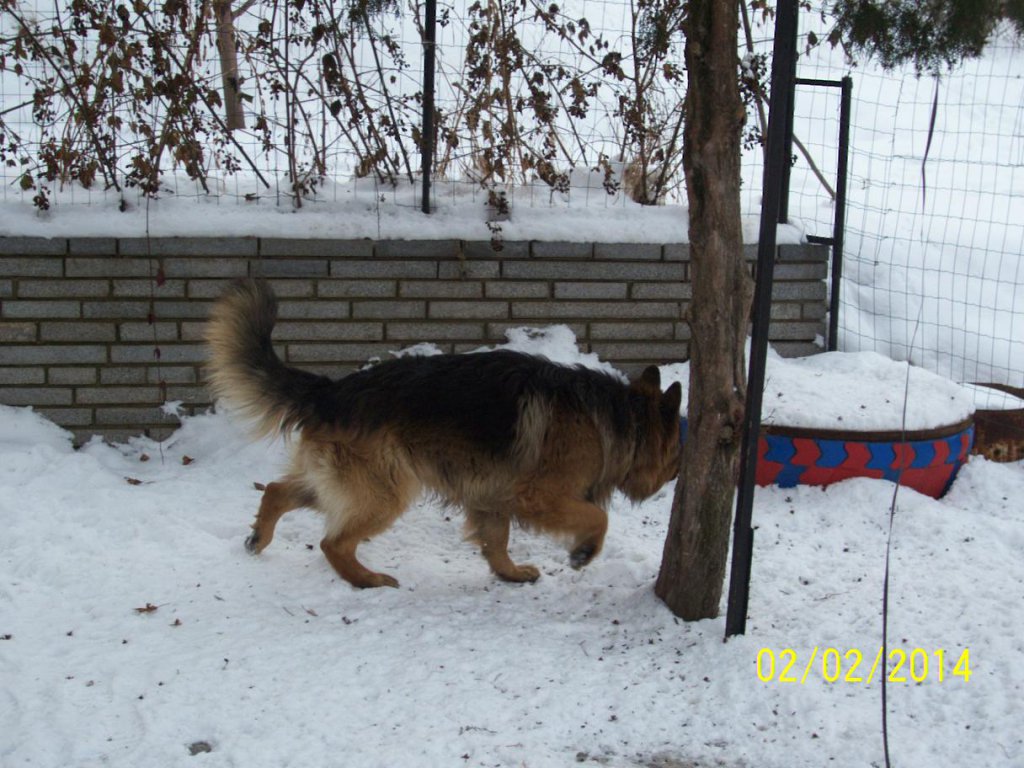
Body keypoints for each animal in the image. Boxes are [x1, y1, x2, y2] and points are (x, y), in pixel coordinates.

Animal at [205, 279, 682, 588]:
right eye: (677, 449)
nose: (678, 473)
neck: (618, 418)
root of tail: (332, 389)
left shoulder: (492, 496)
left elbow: (497, 540)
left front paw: (508, 573)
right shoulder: (540, 496)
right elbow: (597, 517)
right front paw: (584, 552)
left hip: (341, 482)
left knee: (277, 491)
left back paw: (259, 538)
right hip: (385, 492)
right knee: (333, 542)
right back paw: (366, 580)